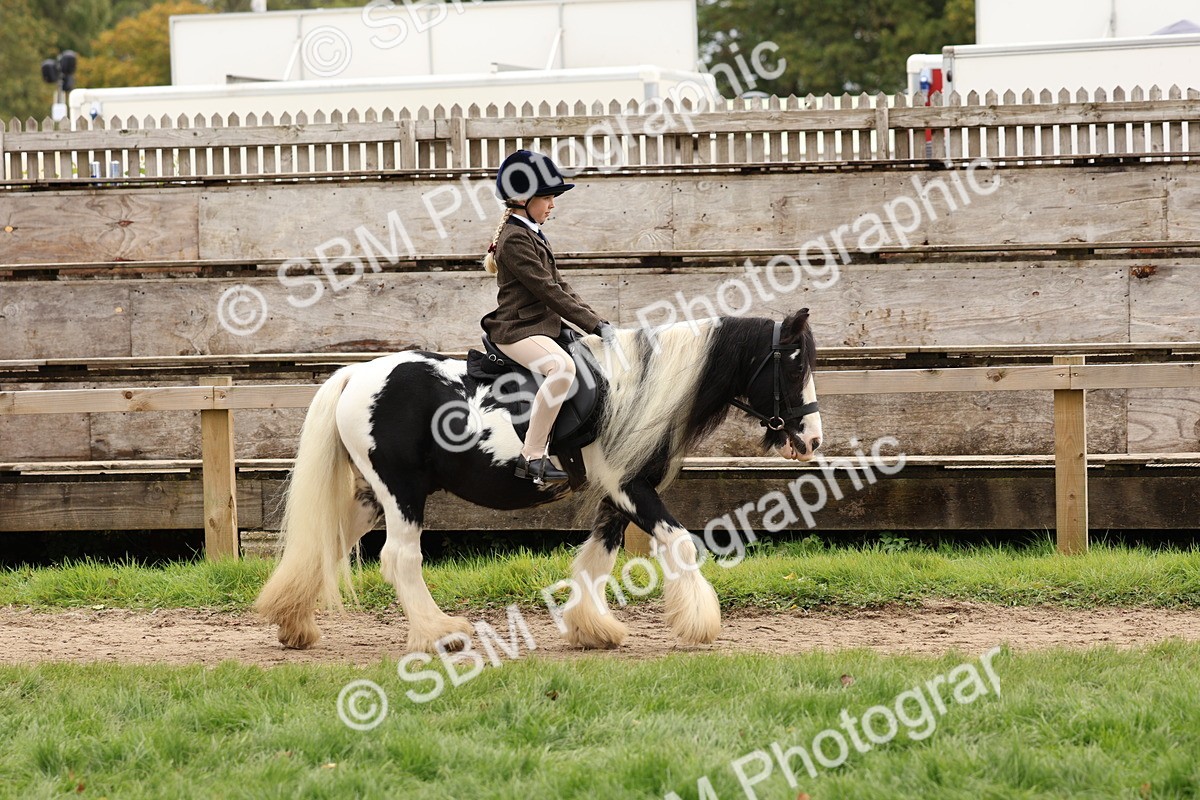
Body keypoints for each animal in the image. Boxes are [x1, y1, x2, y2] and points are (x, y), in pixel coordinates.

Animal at [255, 309, 822, 653]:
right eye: (795, 366)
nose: (813, 441)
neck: (637, 390)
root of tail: (357, 373)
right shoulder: (632, 490)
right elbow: (681, 543)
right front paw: (699, 622)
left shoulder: (617, 495)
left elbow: (597, 560)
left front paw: (591, 628)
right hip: (402, 492)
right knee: (400, 558)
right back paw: (440, 633)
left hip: (375, 495)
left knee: (326, 545)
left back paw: (293, 622)